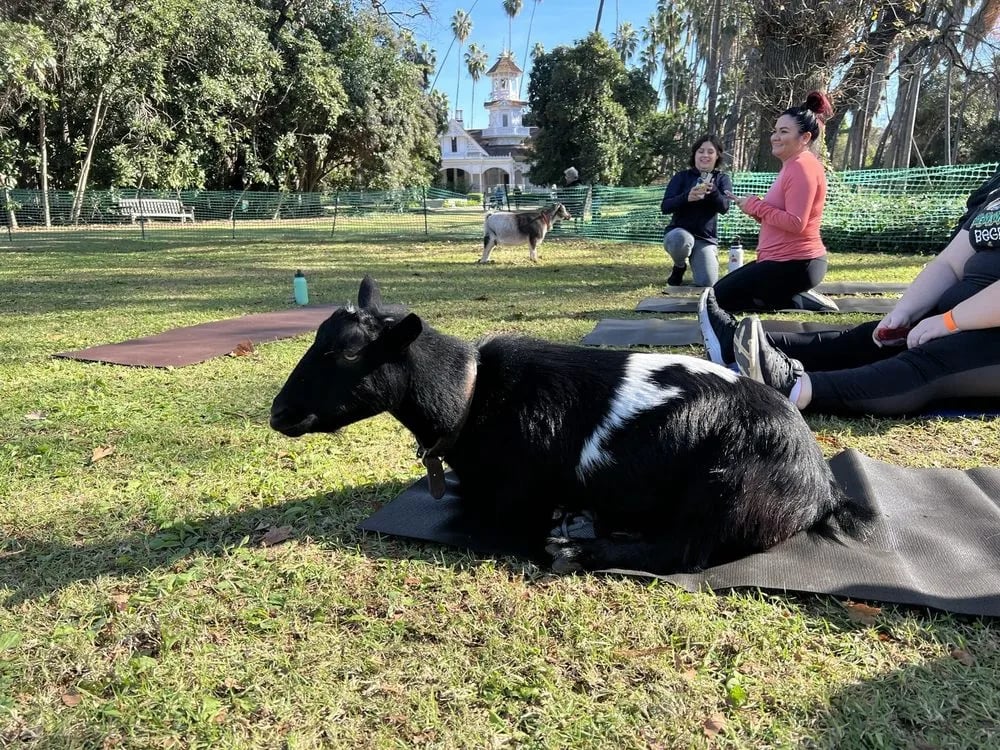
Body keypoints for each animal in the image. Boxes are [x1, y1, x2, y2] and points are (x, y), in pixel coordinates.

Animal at [270, 276, 866, 574]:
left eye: (350, 352)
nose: (279, 413)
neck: (472, 391)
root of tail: (821, 485)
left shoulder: (516, 499)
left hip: (727, 493)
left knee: (684, 553)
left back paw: (581, 550)